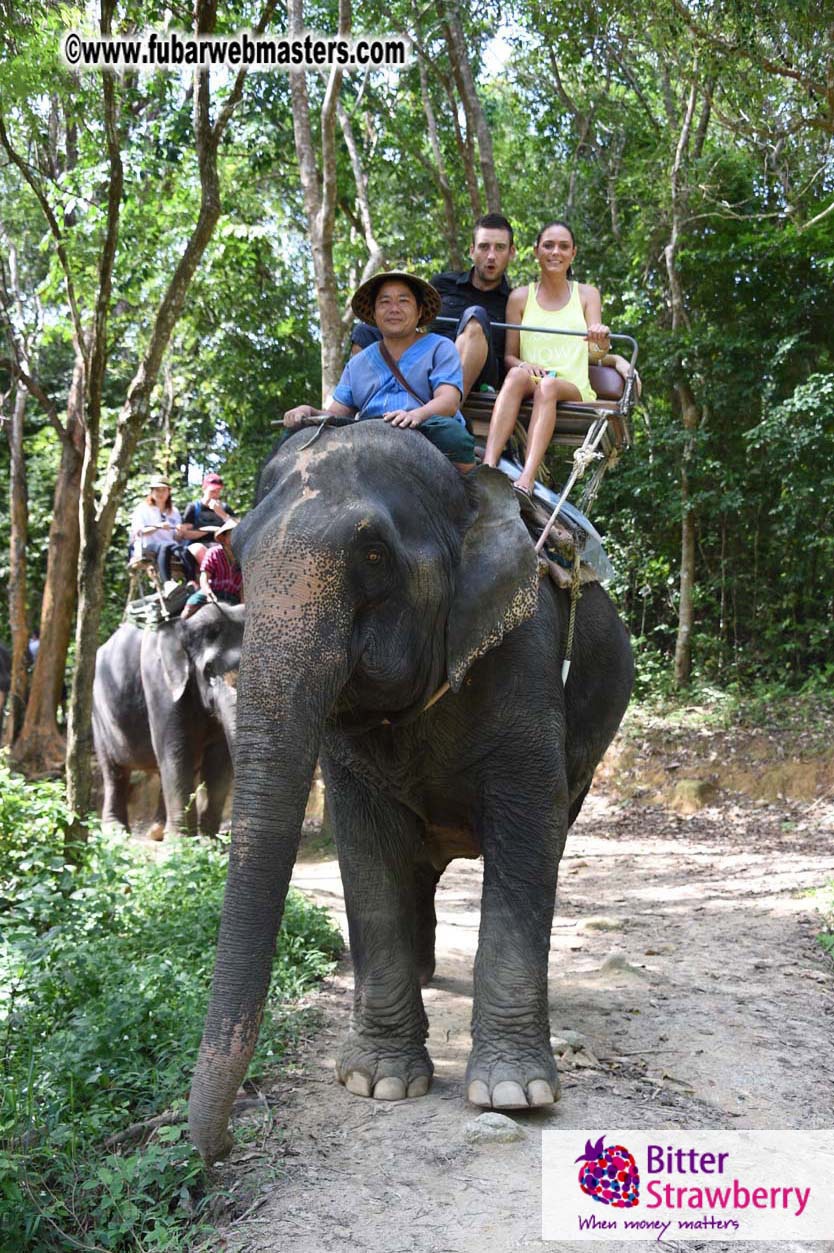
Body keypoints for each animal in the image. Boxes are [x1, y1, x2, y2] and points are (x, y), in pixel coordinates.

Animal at [93, 603, 245, 837]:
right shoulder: (159, 680)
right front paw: (181, 841)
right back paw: (117, 831)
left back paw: (157, 831)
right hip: (99, 713)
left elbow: (219, 760)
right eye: (208, 670)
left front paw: (208, 839)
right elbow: (176, 750)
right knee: (114, 771)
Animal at [188, 420, 633, 1163]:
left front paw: (514, 1094)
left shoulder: (527, 650)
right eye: (240, 556)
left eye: (373, 554)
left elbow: (529, 830)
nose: (223, 1143)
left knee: (555, 831)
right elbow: (366, 849)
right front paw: (379, 1082)